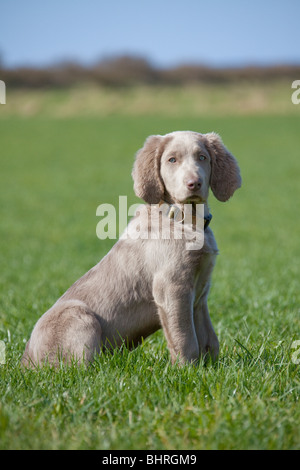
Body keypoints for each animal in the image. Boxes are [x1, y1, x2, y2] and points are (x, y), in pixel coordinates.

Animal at [21, 129, 241, 368]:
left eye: (202, 157)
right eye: (172, 160)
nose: (194, 183)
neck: (185, 220)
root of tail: (25, 361)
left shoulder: (200, 294)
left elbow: (208, 337)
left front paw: (211, 367)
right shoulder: (172, 288)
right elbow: (185, 337)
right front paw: (187, 369)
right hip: (79, 315)